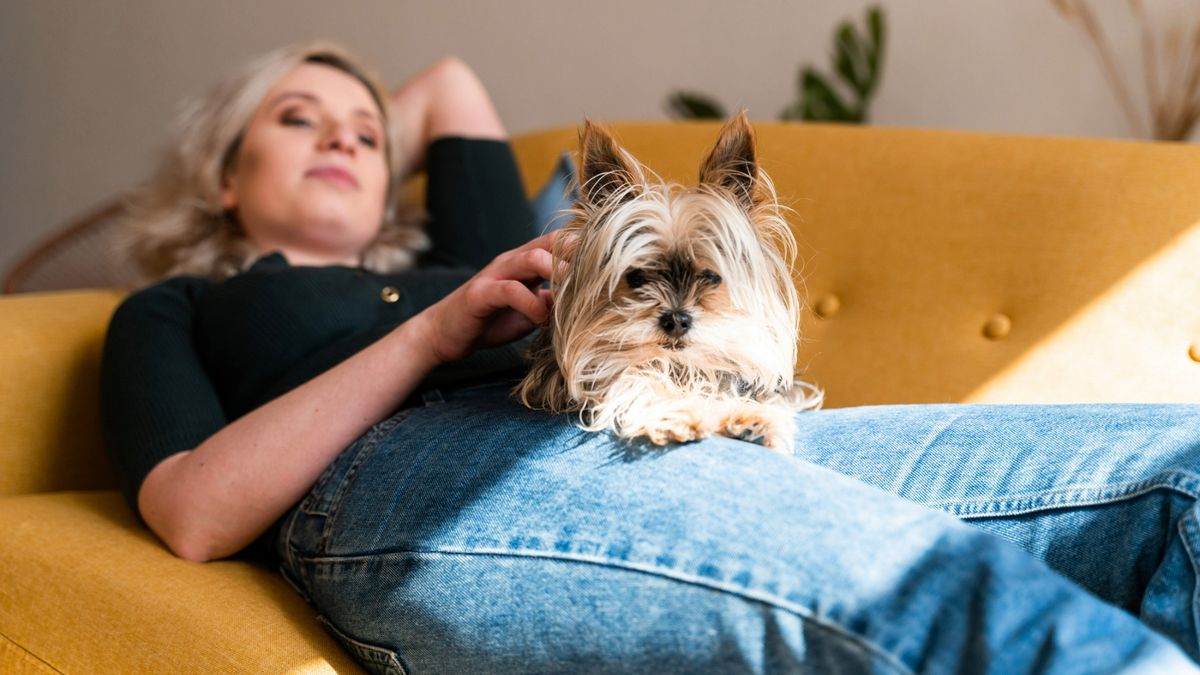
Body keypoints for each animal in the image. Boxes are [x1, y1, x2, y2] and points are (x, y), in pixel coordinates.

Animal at [516, 111, 825, 451]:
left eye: (710, 277)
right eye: (636, 277)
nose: (676, 320)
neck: (680, 365)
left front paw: (750, 417)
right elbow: (634, 380)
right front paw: (678, 413)